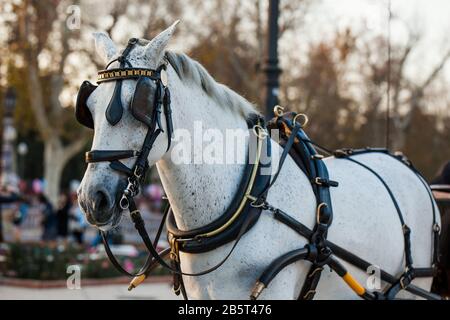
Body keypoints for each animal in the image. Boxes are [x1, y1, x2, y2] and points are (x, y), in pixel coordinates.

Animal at [77, 23, 440, 300]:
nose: (93, 199)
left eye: (139, 103)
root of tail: (409, 168)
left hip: (414, 286)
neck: (249, 198)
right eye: (89, 107)